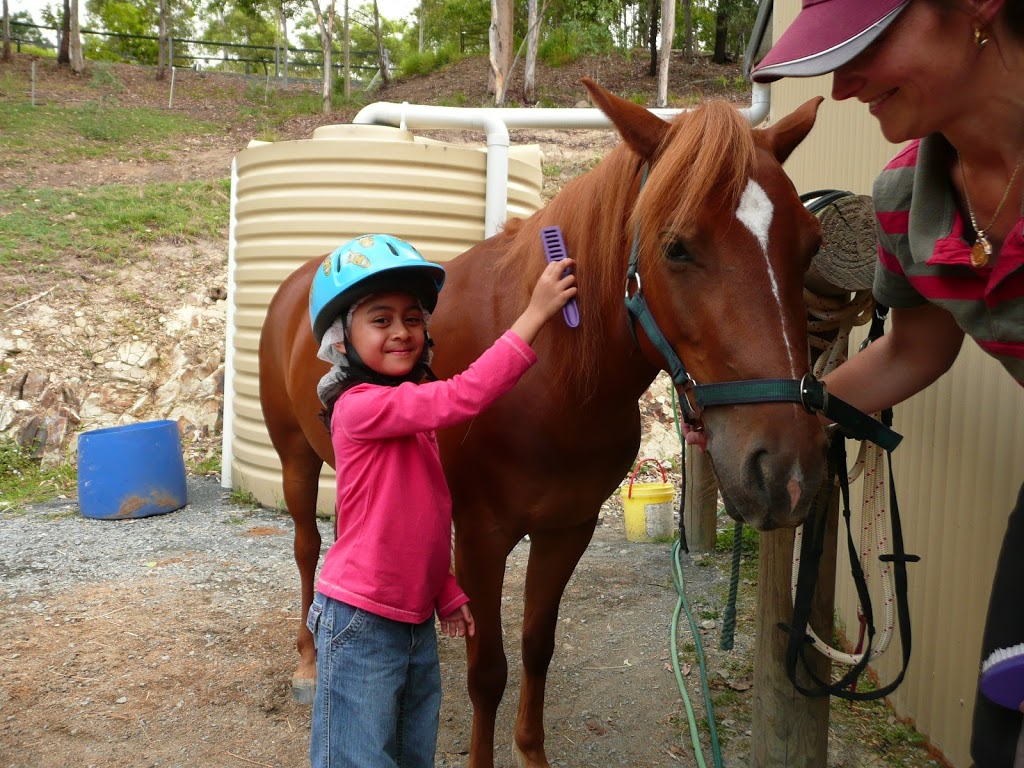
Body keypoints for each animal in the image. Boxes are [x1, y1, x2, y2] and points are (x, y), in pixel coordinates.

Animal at [260, 81, 827, 765]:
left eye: (811, 246)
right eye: (677, 246)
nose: (787, 472)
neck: (556, 380)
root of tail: (296, 282)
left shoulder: (567, 529)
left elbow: (536, 646)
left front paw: (531, 751)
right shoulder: (481, 537)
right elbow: (488, 672)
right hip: (296, 461)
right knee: (307, 549)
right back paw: (308, 666)